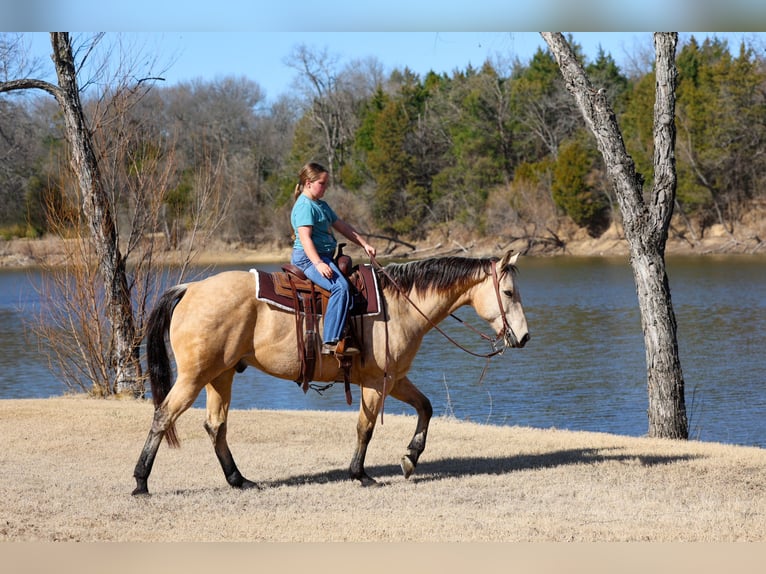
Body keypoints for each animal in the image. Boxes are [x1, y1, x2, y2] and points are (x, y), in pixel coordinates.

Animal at [131, 250, 529, 495]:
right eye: (509, 292)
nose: (524, 337)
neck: (400, 305)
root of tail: (190, 288)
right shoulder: (377, 383)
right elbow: (365, 428)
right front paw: (360, 473)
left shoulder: (395, 379)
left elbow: (426, 407)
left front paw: (409, 458)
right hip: (194, 377)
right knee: (163, 416)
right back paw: (140, 481)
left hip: (221, 375)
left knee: (216, 426)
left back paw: (239, 480)